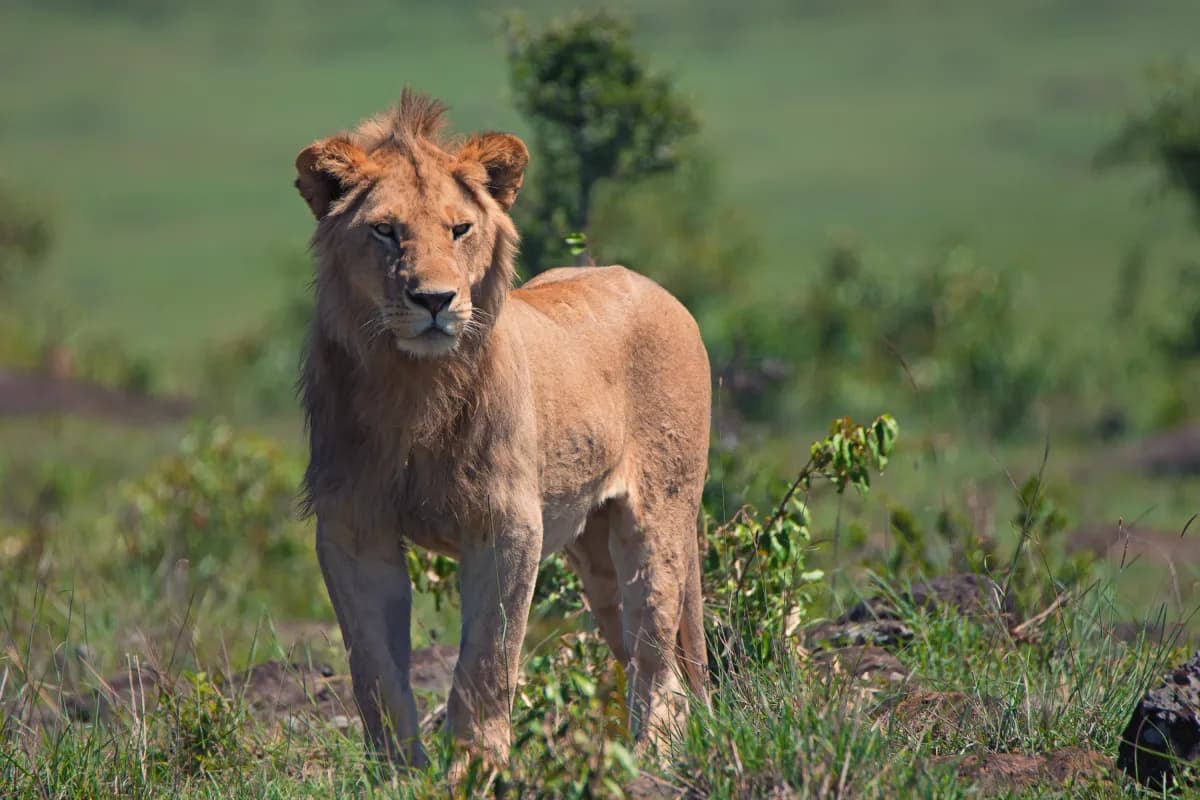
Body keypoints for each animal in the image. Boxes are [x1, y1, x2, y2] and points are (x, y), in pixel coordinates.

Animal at [294, 89, 712, 768]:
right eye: (385, 230)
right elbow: (375, 671)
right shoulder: (353, 527)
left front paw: (475, 767)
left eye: (460, 229)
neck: (415, 387)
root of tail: (654, 287)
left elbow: (486, 662)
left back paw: (650, 760)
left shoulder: (506, 523)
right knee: (632, 647)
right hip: (595, 548)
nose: (434, 300)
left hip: (660, 517)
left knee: (658, 653)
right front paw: (400, 773)